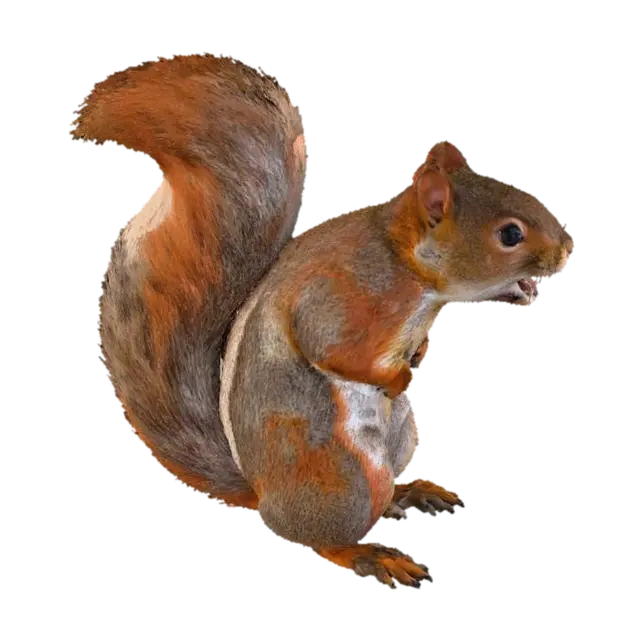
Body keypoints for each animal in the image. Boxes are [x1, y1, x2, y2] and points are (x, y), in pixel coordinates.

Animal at [74, 53, 575, 588]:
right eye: (510, 235)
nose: (568, 250)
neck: (405, 264)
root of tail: (261, 492)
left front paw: (432, 346)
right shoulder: (343, 295)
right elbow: (332, 348)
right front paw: (395, 376)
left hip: (402, 437)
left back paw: (409, 493)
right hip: (344, 479)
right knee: (317, 535)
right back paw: (370, 555)